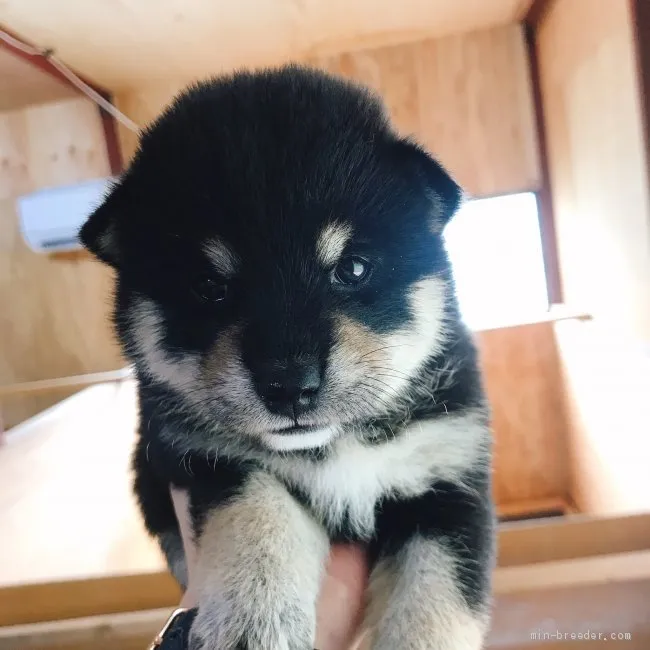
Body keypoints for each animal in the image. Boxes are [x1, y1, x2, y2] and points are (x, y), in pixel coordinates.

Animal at [83, 66, 494, 648]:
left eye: (354, 268)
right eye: (208, 287)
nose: (290, 385)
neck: (335, 447)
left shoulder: (449, 483)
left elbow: (433, 603)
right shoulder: (203, 460)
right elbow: (259, 512)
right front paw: (251, 619)